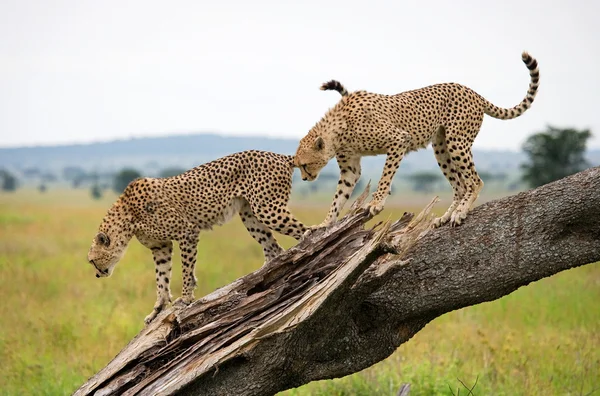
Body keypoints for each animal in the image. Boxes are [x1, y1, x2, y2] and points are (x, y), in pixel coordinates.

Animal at [86, 150, 308, 324]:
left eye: (92, 261)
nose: (97, 275)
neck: (127, 217)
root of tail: (279, 156)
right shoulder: (161, 247)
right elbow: (161, 278)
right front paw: (157, 309)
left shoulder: (187, 233)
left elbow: (186, 270)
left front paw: (185, 299)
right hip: (250, 215)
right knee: (274, 248)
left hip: (268, 210)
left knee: (306, 230)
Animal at [294, 51, 540, 227]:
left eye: (305, 165)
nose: (304, 179)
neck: (338, 129)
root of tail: (472, 91)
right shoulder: (350, 168)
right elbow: (339, 196)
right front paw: (324, 223)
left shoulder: (399, 139)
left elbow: (385, 177)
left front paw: (376, 203)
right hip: (441, 147)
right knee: (460, 185)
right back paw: (446, 215)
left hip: (457, 142)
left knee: (474, 181)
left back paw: (460, 212)